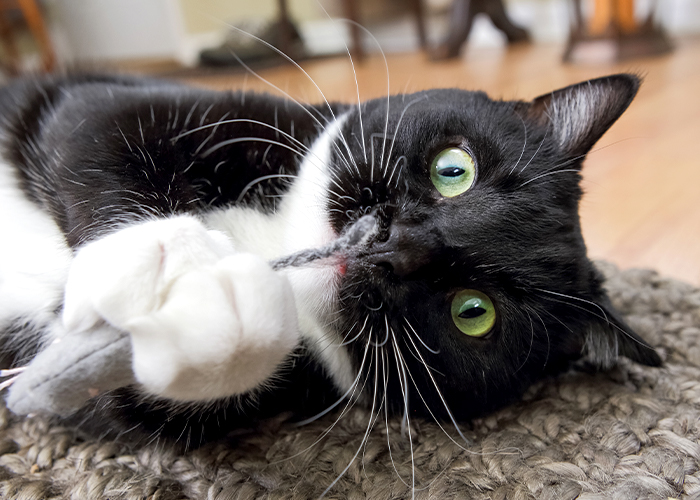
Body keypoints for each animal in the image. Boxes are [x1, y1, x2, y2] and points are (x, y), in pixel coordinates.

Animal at [0, 70, 660, 446]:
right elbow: (100, 129)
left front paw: (218, 313)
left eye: (475, 313)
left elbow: (134, 401)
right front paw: (155, 263)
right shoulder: (116, 102)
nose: (392, 245)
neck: (273, 239)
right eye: (455, 170)